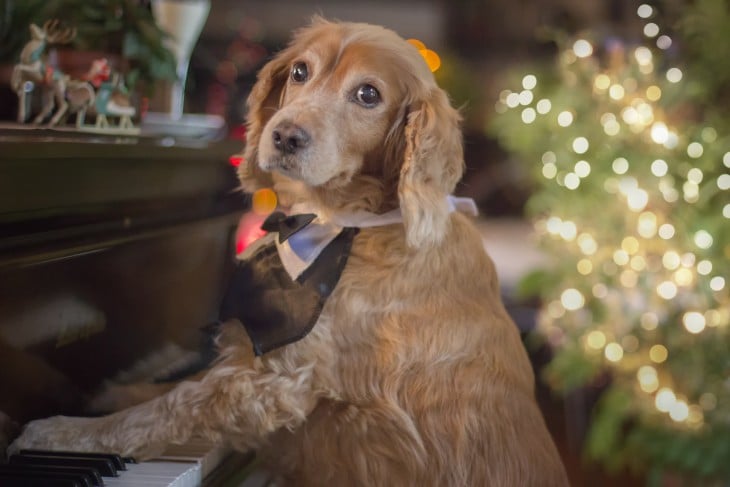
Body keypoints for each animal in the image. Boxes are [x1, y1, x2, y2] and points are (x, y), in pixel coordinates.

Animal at [9, 17, 568, 486]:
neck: (344, 224)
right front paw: (114, 391)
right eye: (300, 71)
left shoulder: (275, 383)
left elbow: (165, 409)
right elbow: (176, 382)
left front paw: (61, 433)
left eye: (368, 94)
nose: (284, 135)